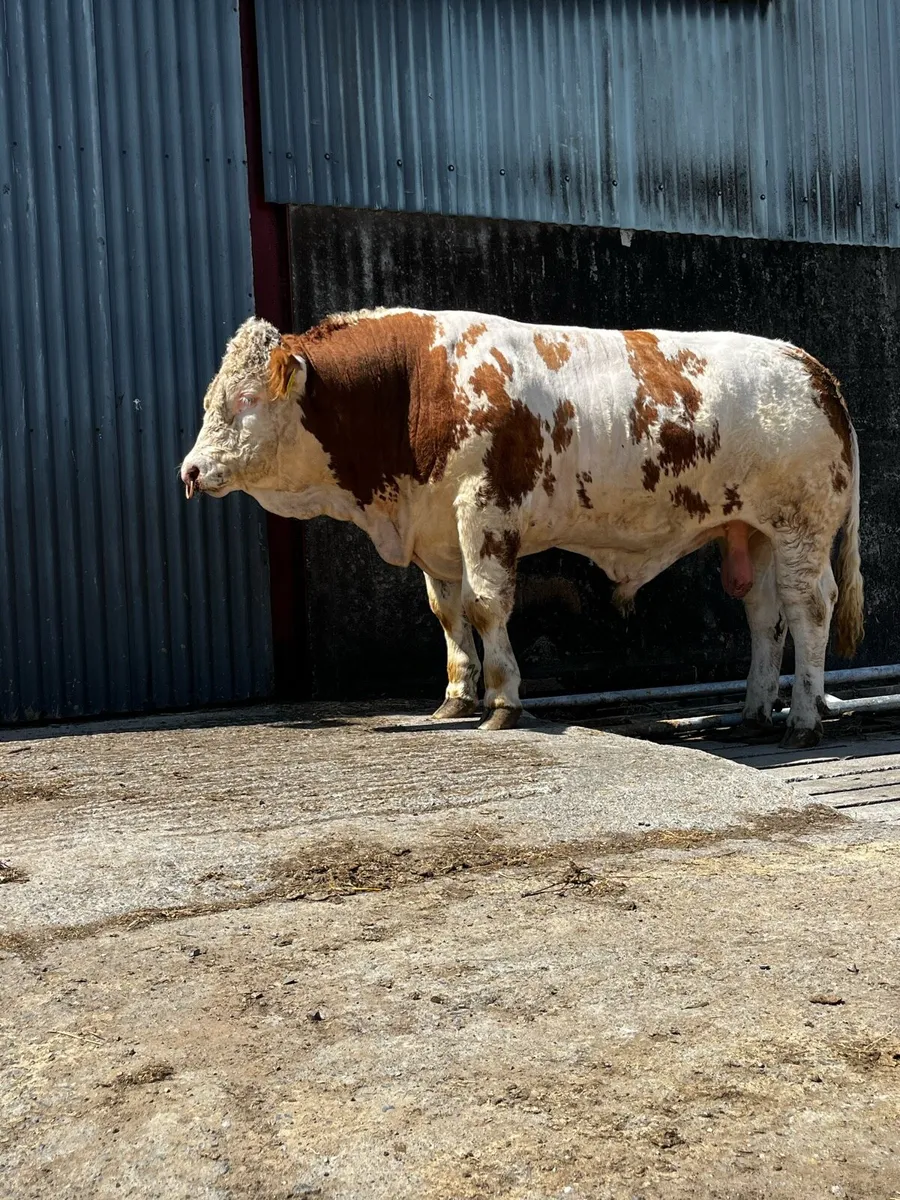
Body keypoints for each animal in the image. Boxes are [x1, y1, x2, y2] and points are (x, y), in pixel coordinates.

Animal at [180, 308, 863, 748]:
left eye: (243, 401)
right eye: (210, 397)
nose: (189, 470)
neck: (412, 387)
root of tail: (811, 367)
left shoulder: (485, 509)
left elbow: (487, 606)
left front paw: (504, 702)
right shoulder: (438, 530)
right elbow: (449, 612)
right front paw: (455, 699)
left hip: (801, 526)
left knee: (809, 608)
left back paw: (803, 720)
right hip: (754, 531)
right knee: (765, 616)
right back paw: (754, 713)